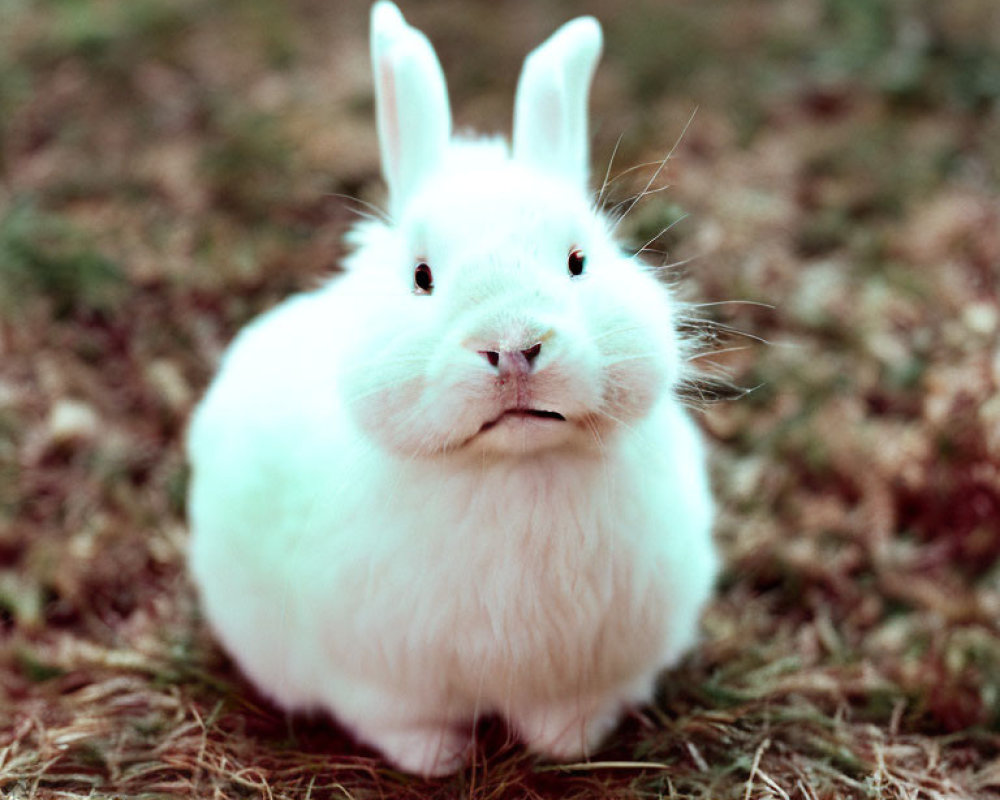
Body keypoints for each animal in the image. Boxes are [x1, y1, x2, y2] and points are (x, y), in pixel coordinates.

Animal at [188, 0, 720, 776]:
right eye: (422, 276)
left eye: (578, 261)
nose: (514, 346)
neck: (514, 467)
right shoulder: (381, 686)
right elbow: (407, 725)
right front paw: (437, 762)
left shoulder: (592, 674)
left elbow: (567, 715)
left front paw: (567, 746)